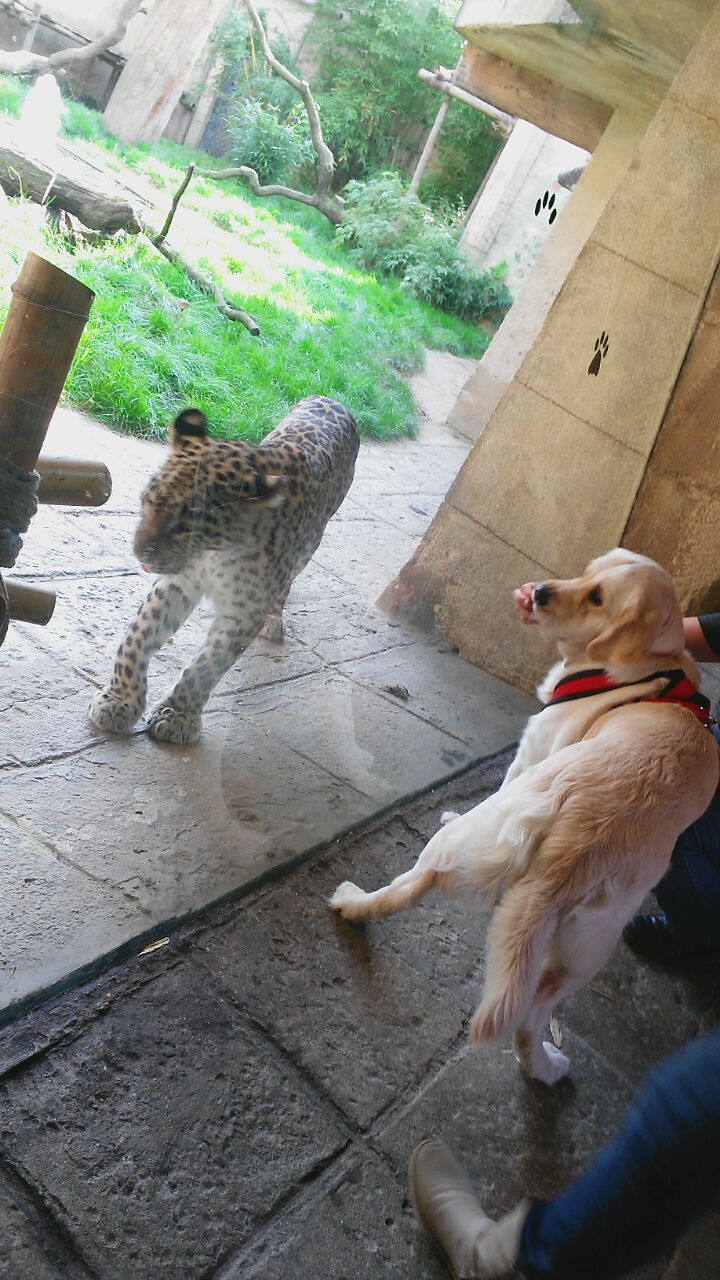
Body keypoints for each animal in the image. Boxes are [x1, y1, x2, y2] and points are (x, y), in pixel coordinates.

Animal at [88, 394, 356, 747]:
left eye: (186, 526)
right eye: (146, 501)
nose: (139, 554)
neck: (216, 553)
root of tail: (333, 399)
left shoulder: (244, 609)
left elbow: (208, 664)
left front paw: (176, 717)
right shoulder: (178, 582)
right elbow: (137, 638)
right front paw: (119, 701)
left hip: (312, 543)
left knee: (288, 580)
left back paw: (274, 619)